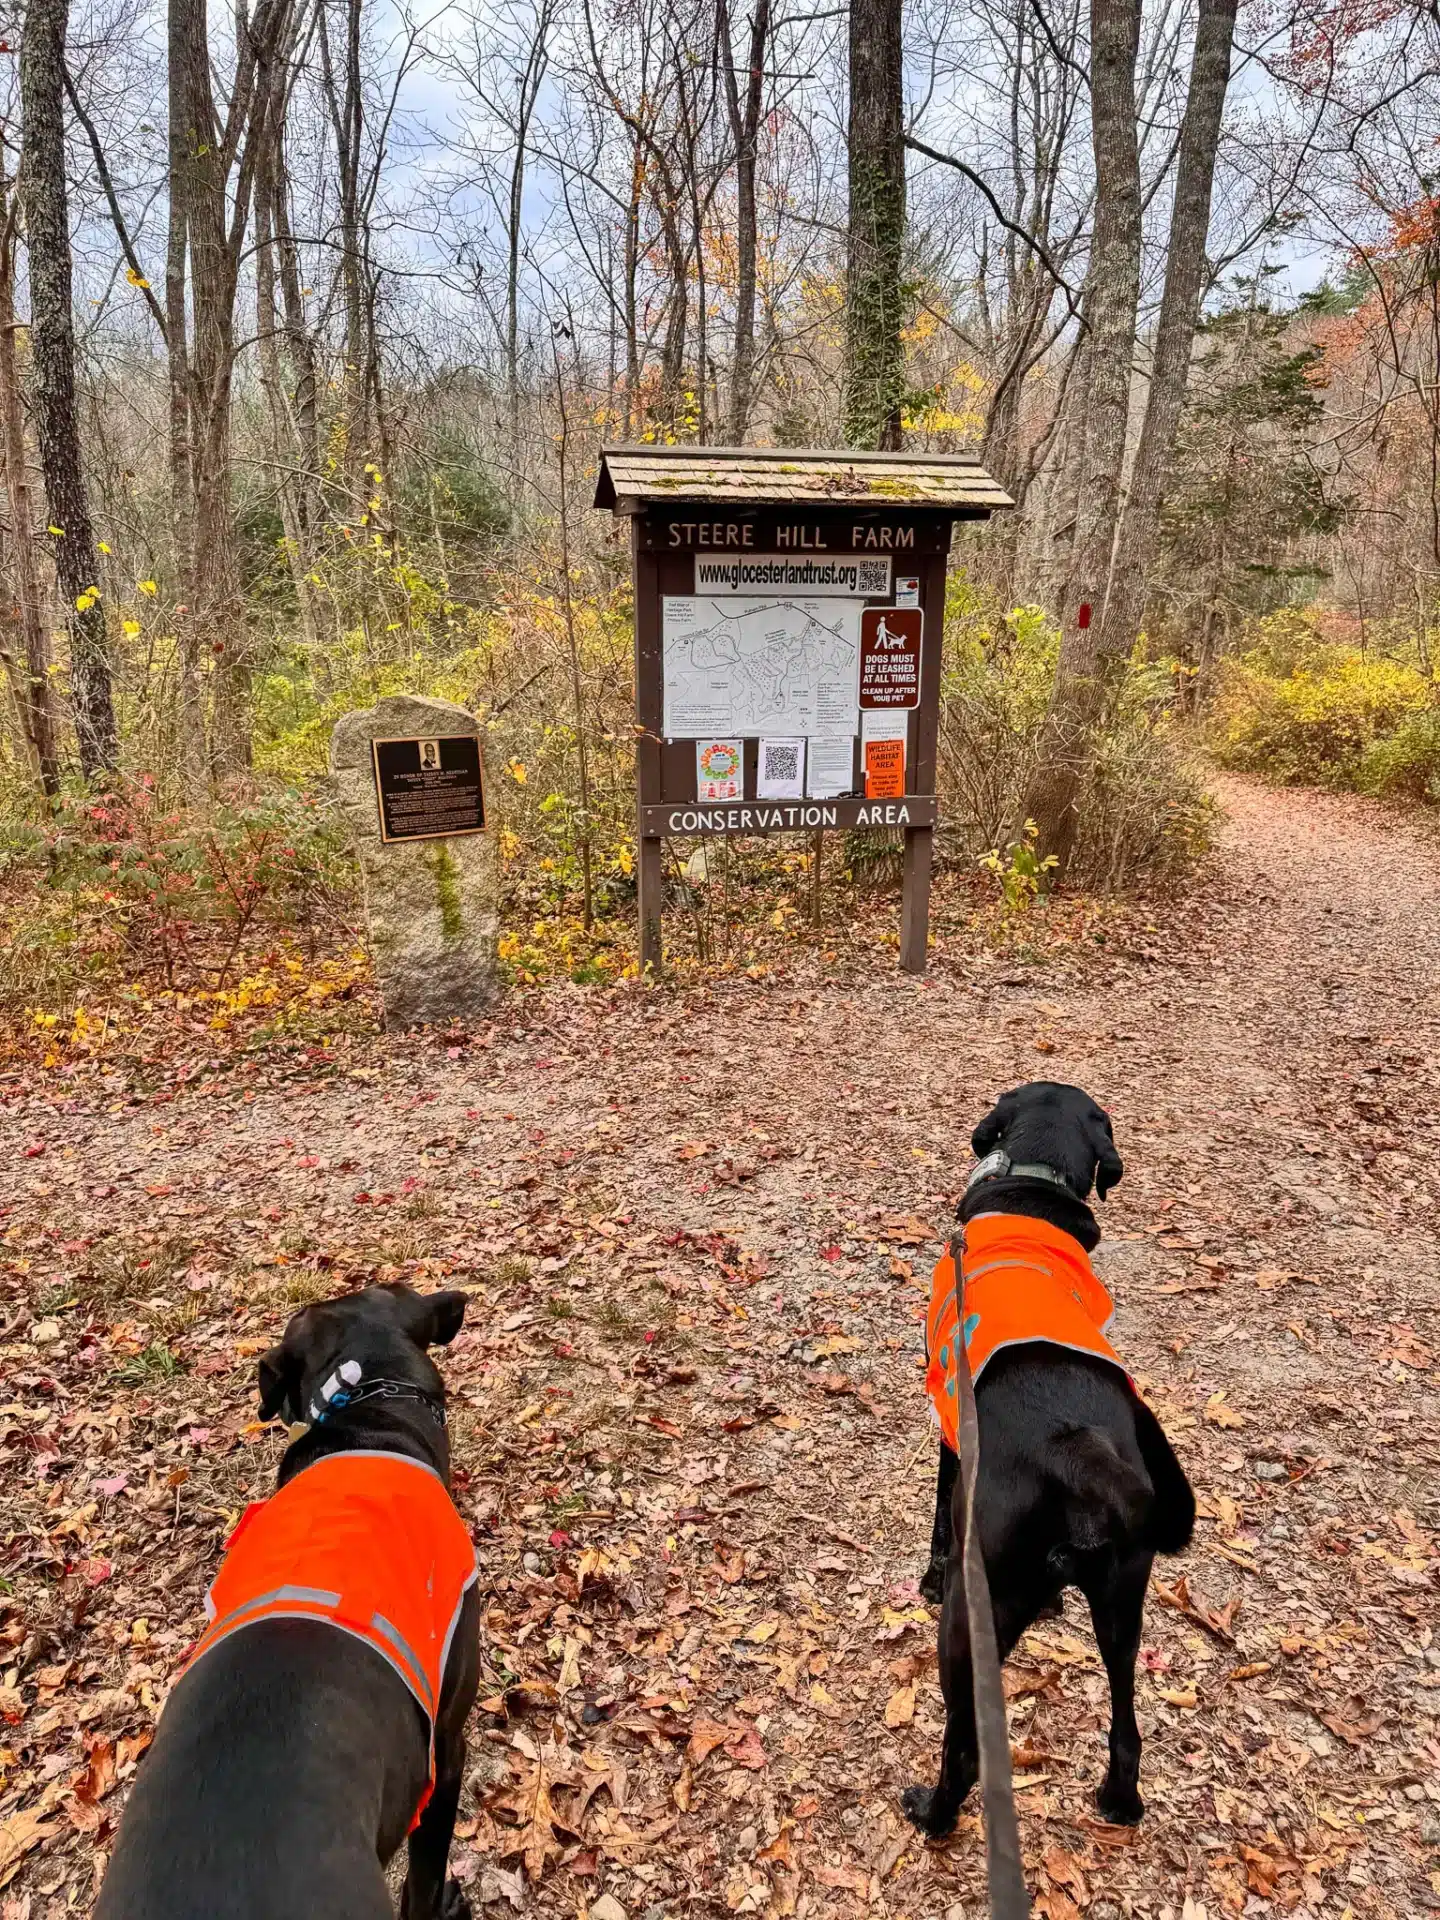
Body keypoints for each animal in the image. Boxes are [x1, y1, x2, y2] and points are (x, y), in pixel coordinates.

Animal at [906, 1090, 1198, 1835]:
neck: (1033, 1185)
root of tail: (1075, 1448)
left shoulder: (949, 1427)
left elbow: (937, 1521)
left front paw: (927, 1577)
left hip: (973, 1621)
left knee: (966, 1749)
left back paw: (933, 1813)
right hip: (1123, 1604)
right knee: (1127, 1730)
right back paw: (1119, 1803)